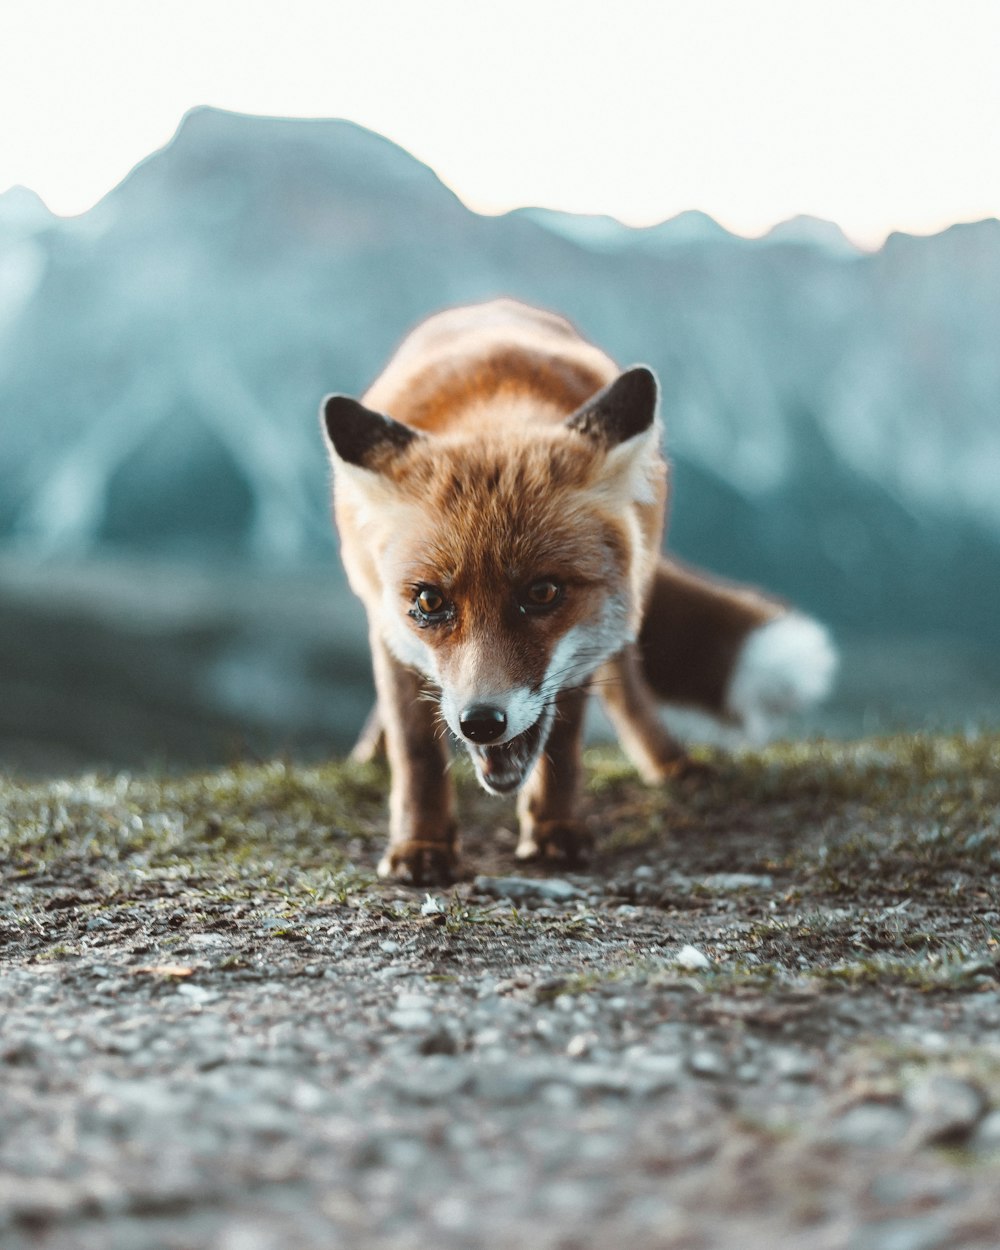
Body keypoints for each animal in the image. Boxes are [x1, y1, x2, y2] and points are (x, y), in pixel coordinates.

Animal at [322, 300, 835, 890]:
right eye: (429, 602)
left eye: (542, 592)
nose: (480, 723)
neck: (493, 402)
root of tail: (490, 305)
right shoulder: (386, 623)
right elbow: (417, 751)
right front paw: (421, 844)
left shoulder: (580, 659)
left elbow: (563, 745)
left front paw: (554, 828)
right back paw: (370, 755)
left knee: (629, 686)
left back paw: (668, 762)